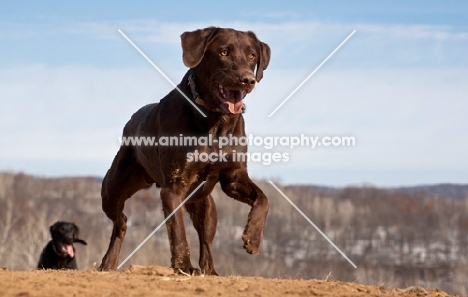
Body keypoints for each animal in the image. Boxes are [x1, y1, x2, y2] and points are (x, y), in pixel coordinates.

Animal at [100, 26, 272, 274]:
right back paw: (108, 262)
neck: (215, 121)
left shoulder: (233, 177)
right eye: (224, 52)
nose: (248, 80)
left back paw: (211, 271)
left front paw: (253, 238)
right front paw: (183, 266)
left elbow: (263, 199)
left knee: (206, 241)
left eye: (252, 56)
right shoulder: (173, 188)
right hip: (112, 190)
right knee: (121, 221)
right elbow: (178, 231)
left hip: (206, 205)